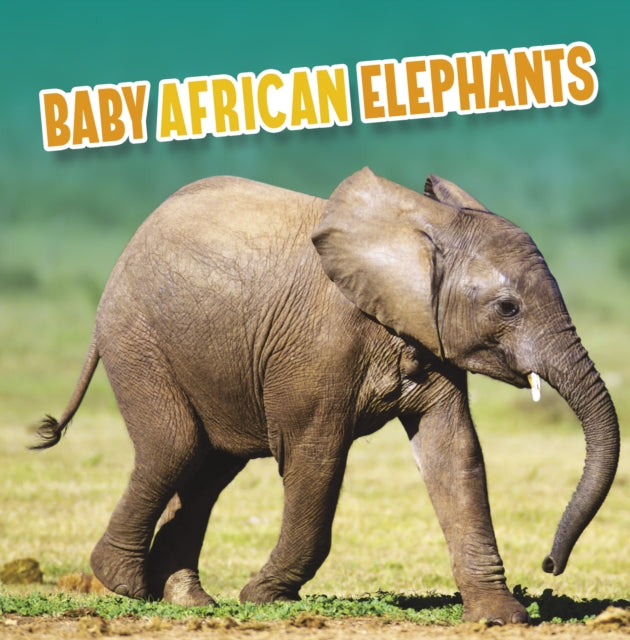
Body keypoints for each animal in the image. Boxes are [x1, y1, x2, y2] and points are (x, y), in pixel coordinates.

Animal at [33, 168, 619, 624]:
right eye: (507, 307)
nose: (549, 566)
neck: (420, 228)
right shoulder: (319, 348)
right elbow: (314, 457)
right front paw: (263, 597)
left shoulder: (425, 334)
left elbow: (454, 452)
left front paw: (500, 617)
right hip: (137, 336)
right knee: (174, 447)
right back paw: (125, 584)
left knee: (208, 468)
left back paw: (189, 602)